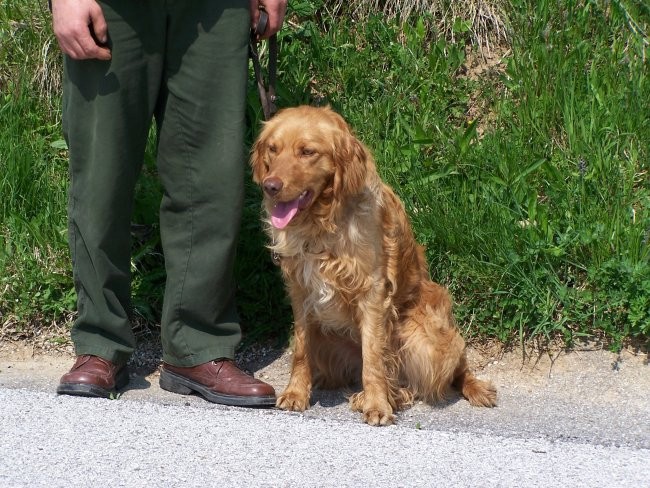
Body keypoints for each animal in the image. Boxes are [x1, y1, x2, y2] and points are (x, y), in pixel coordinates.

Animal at [251, 106, 494, 424]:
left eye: (307, 152)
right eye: (273, 148)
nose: (271, 186)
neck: (322, 225)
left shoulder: (373, 292)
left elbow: (374, 358)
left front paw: (378, 404)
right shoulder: (301, 292)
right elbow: (302, 351)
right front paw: (296, 393)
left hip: (423, 334)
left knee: (452, 369)